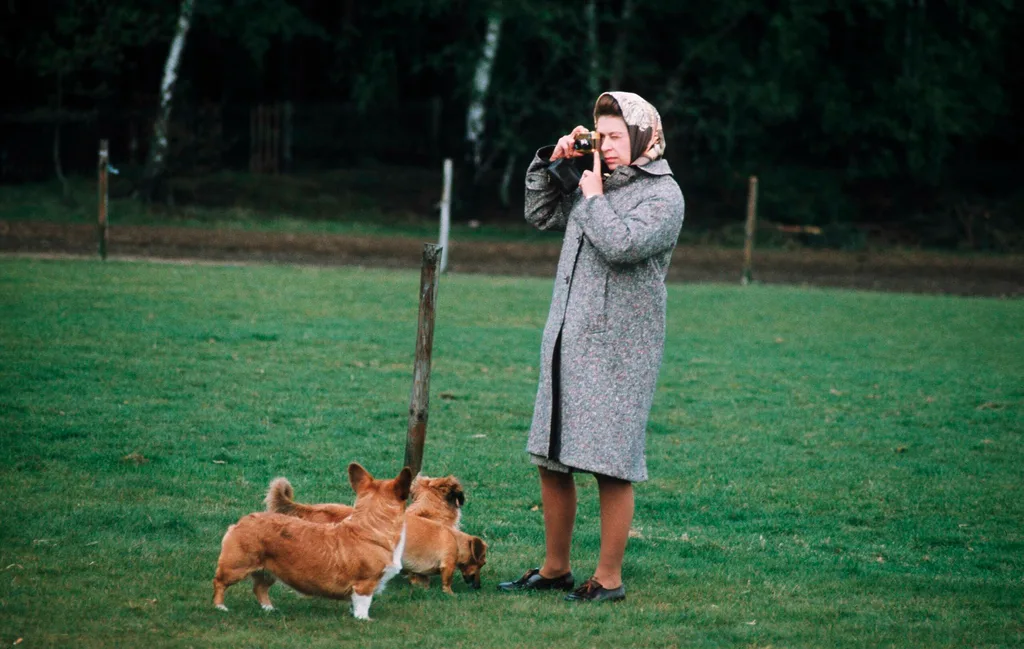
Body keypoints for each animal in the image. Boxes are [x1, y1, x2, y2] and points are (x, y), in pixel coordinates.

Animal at [211, 462, 411, 618]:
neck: (371, 526)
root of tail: (241, 522)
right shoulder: (365, 584)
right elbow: (363, 604)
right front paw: (364, 620)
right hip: (236, 567)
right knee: (219, 583)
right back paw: (220, 607)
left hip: (268, 571)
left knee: (259, 588)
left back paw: (269, 608)